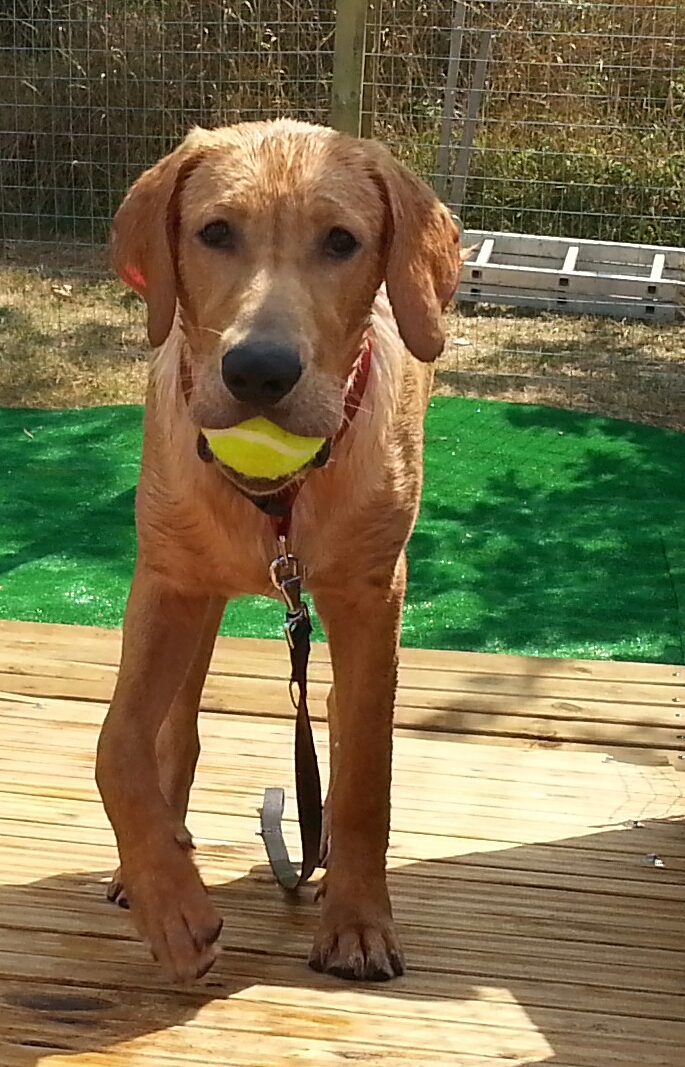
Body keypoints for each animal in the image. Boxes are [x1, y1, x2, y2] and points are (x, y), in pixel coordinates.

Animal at [95, 118, 463, 984]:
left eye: (341, 241)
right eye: (215, 232)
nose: (258, 371)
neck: (278, 499)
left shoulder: (371, 596)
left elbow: (366, 774)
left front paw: (358, 921)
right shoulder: (164, 582)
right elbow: (119, 742)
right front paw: (170, 900)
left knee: (339, 715)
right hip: (197, 596)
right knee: (177, 724)